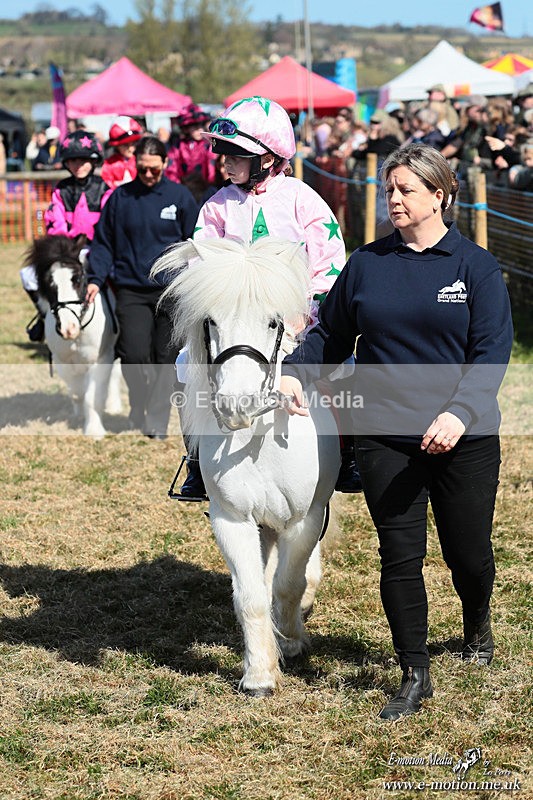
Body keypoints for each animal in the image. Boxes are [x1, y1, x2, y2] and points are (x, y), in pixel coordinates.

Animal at [25, 234, 122, 439]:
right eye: (48, 283)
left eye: (77, 278)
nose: (68, 328)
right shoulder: (62, 361)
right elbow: (77, 392)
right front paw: (78, 416)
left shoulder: (101, 359)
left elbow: (92, 396)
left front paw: (94, 430)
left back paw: (113, 405)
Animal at [152, 238, 340, 696]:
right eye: (210, 321)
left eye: (273, 322)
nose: (238, 405)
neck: (257, 442)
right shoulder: (232, 518)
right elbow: (252, 593)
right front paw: (259, 674)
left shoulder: (304, 518)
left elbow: (289, 585)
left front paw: (291, 644)